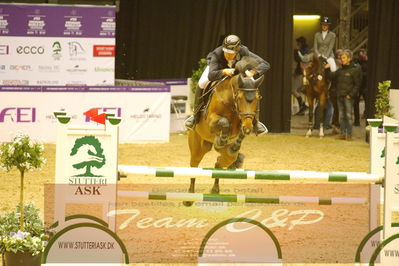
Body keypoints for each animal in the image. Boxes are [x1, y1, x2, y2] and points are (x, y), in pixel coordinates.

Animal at [185, 56, 266, 206]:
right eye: (239, 98)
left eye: (257, 98)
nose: (248, 127)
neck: (230, 102)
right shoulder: (211, 120)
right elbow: (224, 122)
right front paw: (222, 138)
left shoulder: (243, 122)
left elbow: (239, 131)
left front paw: (235, 144)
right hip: (198, 147)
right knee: (194, 166)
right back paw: (189, 197)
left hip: (221, 152)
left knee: (221, 161)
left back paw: (216, 187)